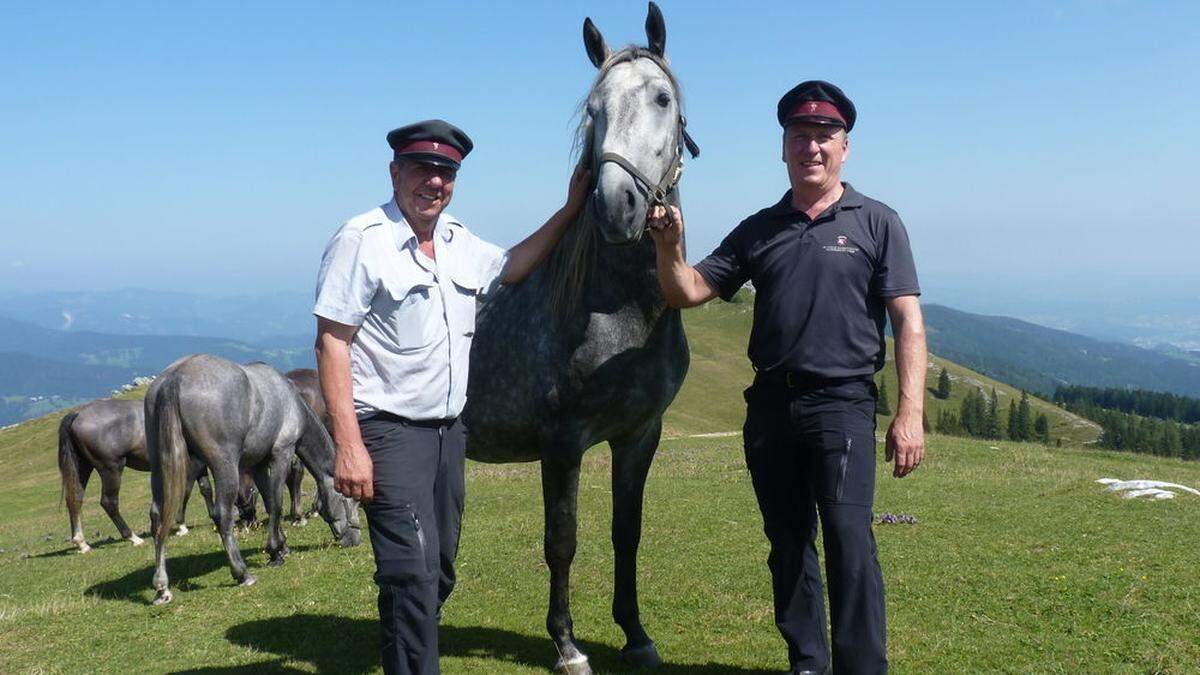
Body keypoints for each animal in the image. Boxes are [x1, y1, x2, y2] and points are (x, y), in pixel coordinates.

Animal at [57, 396, 206, 550]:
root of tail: (77, 414)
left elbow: (205, 489)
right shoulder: (194, 464)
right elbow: (186, 491)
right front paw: (181, 526)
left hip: (83, 467)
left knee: (75, 499)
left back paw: (82, 543)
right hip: (111, 470)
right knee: (109, 502)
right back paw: (133, 537)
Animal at [146, 355, 360, 600]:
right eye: (351, 499)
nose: (355, 540)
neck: (292, 401)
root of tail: (174, 380)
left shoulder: (257, 464)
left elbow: (268, 501)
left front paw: (282, 546)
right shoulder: (282, 453)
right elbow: (276, 503)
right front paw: (275, 551)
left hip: (160, 465)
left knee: (157, 516)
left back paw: (162, 586)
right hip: (224, 465)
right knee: (223, 514)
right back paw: (242, 573)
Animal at [463, 3, 700, 667]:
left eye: (662, 98)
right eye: (594, 110)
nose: (616, 206)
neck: (618, 312)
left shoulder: (640, 435)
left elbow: (628, 532)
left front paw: (636, 634)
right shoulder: (563, 442)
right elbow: (562, 540)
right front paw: (567, 644)